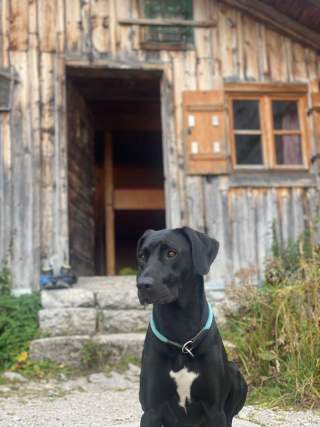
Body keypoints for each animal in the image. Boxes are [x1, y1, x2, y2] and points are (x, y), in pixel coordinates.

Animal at [136, 229, 246, 426]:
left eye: (171, 253)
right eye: (142, 256)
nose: (141, 285)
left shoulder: (214, 410)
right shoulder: (151, 411)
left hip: (236, 373)